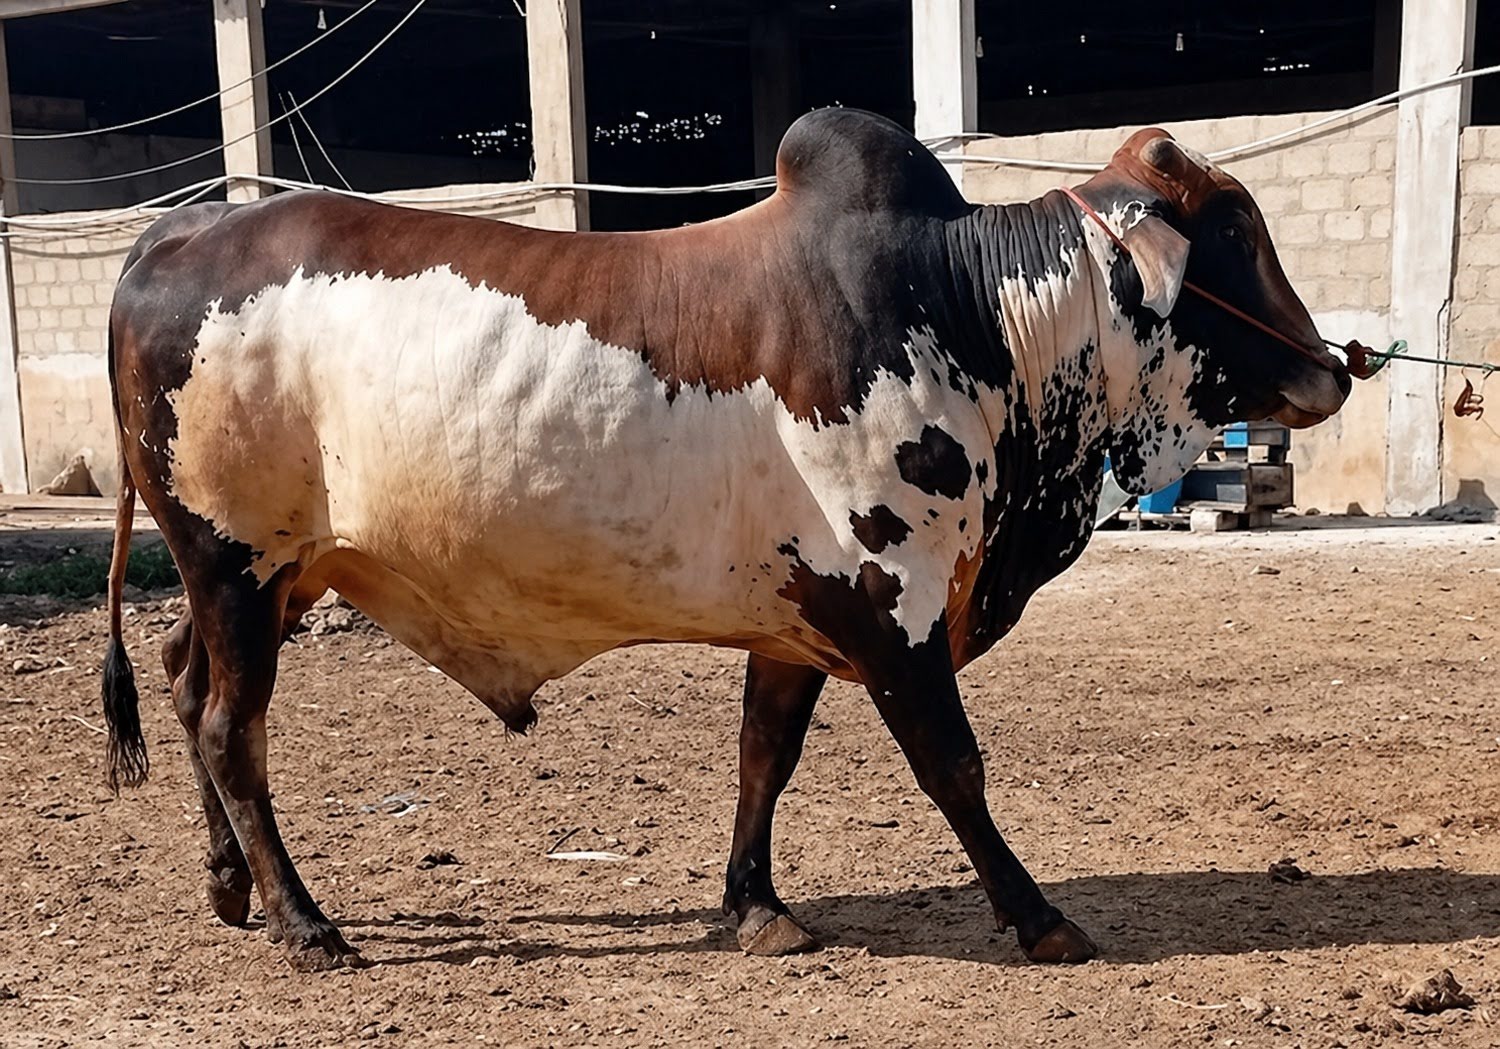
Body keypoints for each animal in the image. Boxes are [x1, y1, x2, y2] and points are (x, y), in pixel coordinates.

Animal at [100, 108, 1349, 971]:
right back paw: (304, 921)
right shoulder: (893, 606)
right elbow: (954, 764)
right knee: (229, 729)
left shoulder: (799, 615)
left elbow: (764, 756)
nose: (1337, 366)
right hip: (236, 559)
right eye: (1235, 226)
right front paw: (1039, 915)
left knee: (182, 680)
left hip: (273, 576)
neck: (971, 310)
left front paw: (757, 905)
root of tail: (178, 233)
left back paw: (231, 886)